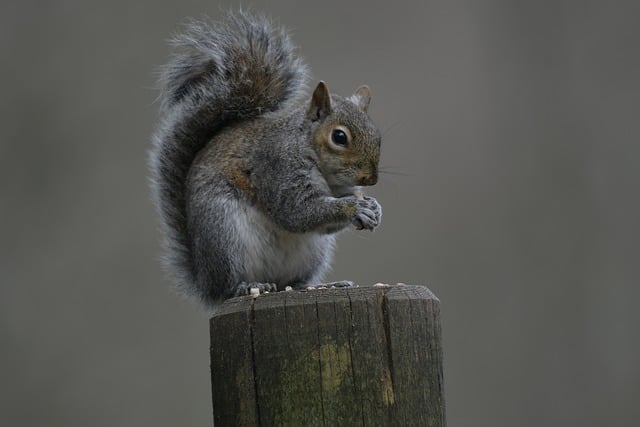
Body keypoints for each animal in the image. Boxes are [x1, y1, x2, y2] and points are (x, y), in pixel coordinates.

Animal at [148, 10, 382, 310]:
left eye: (377, 135)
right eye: (339, 137)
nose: (370, 179)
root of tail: (205, 281)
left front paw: (373, 207)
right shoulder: (277, 168)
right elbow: (297, 211)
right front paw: (355, 207)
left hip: (310, 254)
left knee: (292, 282)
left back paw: (322, 284)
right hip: (225, 234)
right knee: (230, 286)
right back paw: (247, 286)